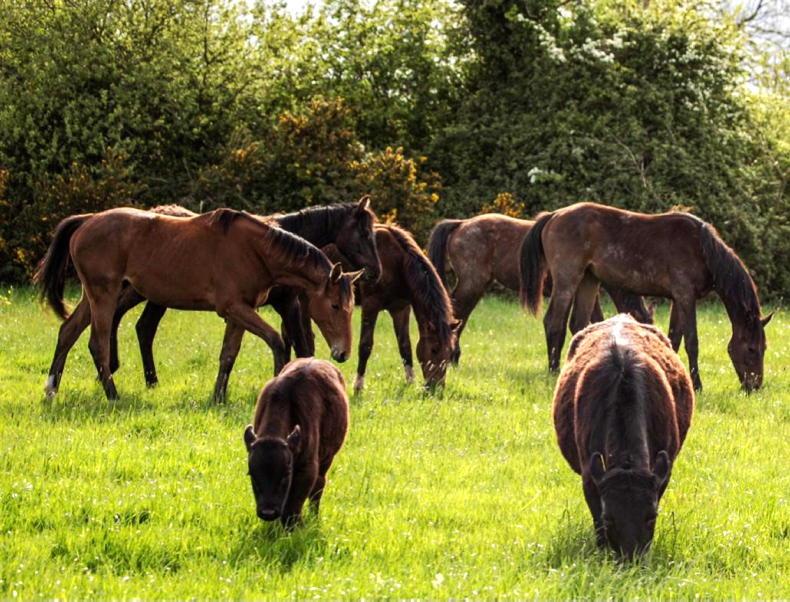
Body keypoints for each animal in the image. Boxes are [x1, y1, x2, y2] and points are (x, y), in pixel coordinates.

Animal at [36, 207, 362, 400]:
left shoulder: (239, 313)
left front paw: (218, 397)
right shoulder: (236, 308)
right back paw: (113, 395)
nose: (343, 352)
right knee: (97, 344)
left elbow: (228, 355)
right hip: (104, 295)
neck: (256, 250)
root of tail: (87, 220)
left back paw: (52, 388)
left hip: (93, 297)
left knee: (68, 332)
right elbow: (276, 342)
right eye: (335, 306)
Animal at [105, 198, 380, 392]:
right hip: (142, 292)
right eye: (365, 233)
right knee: (120, 316)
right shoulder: (283, 305)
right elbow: (297, 344)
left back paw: (149, 380)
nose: (376, 271)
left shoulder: (285, 305)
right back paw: (113, 366)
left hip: (153, 295)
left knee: (142, 327)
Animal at [244, 358, 348, 528]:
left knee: (319, 485)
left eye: (286, 474)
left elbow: (293, 505)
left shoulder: (307, 469)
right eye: (251, 474)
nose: (268, 512)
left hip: (328, 459)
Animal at [325, 224, 460, 392]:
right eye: (434, 349)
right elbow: (365, 346)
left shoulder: (401, 309)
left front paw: (410, 383)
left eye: (450, 353)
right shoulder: (370, 305)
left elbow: (405, 346)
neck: (397, 263)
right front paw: (358, 386)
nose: (437, 389)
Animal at [519, 202, 773, 391]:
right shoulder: (685, 296)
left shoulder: (677, 299)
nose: (754, 386)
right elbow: (691, 341)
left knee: (578, 324)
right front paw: (697, 384)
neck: (701, 248)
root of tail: (554, 215)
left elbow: (674, 337)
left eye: (765, 348)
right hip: (568, 279)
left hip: (589, 280)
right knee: (554, 322)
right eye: (752, 348)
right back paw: (554, 371)